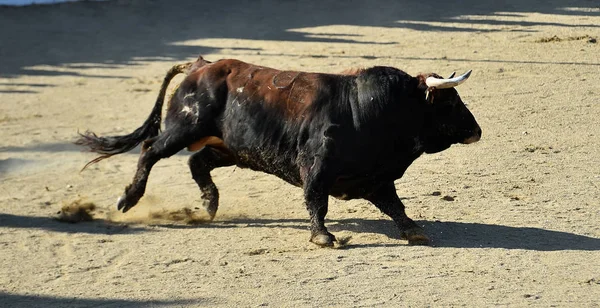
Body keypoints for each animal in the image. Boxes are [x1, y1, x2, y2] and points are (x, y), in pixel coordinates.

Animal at [76, 56, 482, 247]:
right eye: (449, 103)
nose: (477, 131)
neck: (367, 109)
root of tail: (201, 66)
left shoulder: (377, 177)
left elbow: (395, 206)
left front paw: (414, 231)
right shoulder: (316, 168)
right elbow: (317, 202)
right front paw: (323, 237)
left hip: (231, 148)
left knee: (197, 162)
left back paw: (209, 204)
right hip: (184, 127)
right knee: (150, 150)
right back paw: (128, 199)